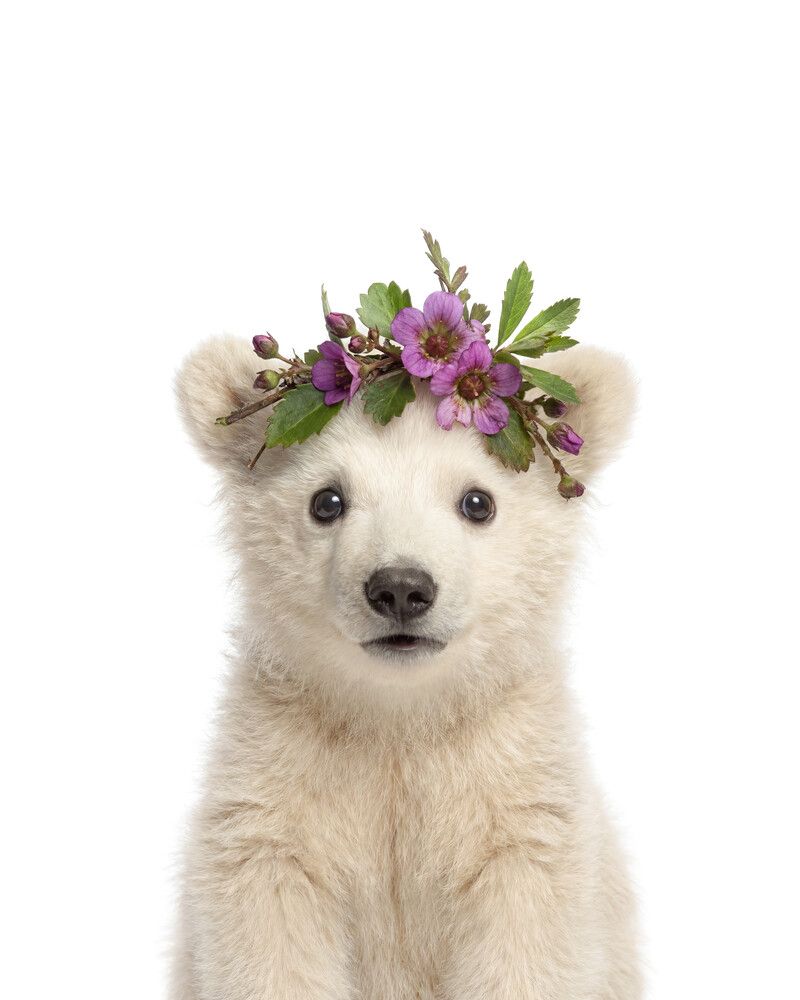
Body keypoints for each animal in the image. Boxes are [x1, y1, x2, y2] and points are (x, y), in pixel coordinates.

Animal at [171, 334, 642, 1000]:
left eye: (477, 501)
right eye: (327, 500)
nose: (400, 588)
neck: (400, 716)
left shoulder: (517, 800)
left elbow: (525, 946)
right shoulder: (275, 790)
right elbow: (270, 936)